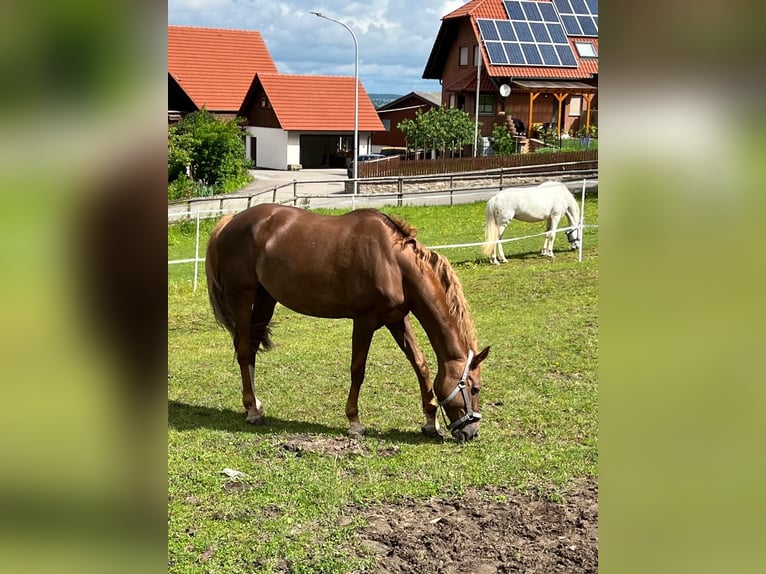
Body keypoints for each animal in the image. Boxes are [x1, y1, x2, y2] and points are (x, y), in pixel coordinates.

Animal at [204, 205, 492, 444]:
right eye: (475, 388)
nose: (471, 432)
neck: (393, 261)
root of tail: (231, 222)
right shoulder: (364, 321)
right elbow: (358, 370)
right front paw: (354, 422)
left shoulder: (397, 320)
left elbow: (419, 364)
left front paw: (431, 421)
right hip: (242, 297)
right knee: (244, 351)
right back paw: (252, 410)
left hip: (266, 299)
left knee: (251, 348)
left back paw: (255, 403)